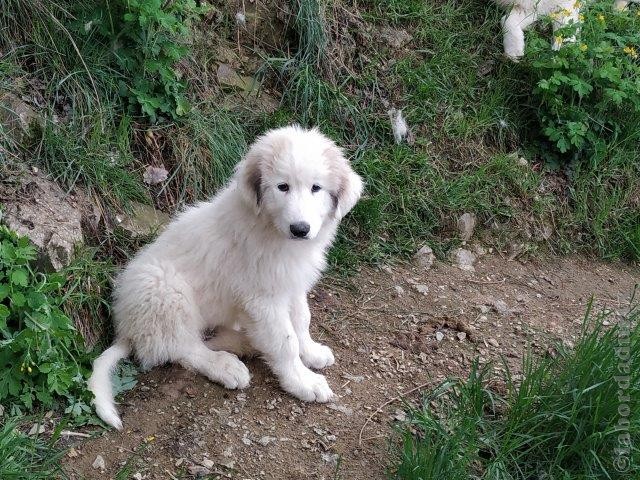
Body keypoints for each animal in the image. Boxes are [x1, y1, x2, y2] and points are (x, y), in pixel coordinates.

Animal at [87, 125, 362, 430]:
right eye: (283, 187)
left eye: (316, 188)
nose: (300, 229)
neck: (270, 229)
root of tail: (126, 329)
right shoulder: (263, 298)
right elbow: (285, 340)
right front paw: (302, 382)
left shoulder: (291, 285)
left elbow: (302, 321)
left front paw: (311, 352)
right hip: (163, 288)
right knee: (181, 348)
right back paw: (223, 365)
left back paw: (244, 343)